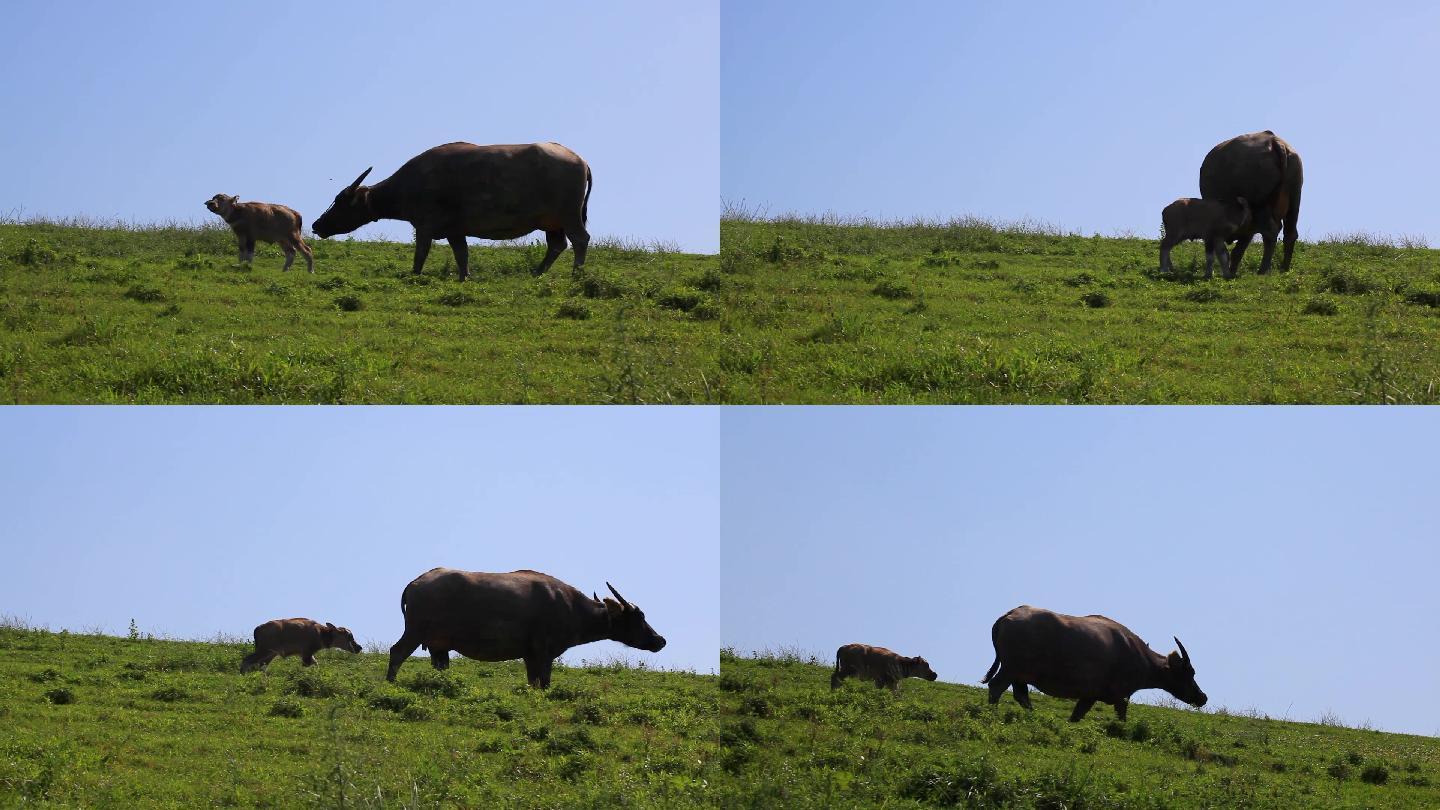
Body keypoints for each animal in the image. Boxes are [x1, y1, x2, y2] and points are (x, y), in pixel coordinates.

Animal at [311, 143, 590, 282]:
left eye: (340, 201)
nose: (317, 225)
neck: (411, 183)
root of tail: (580, 160)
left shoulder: (424, 226)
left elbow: (420, 254)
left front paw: (414, 275)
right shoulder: (455, 231)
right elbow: (461, 255)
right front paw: (464, 277)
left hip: (569, 216)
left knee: (580, 240)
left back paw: (576, 275)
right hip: (553, 222)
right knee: (557, 245)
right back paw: (537, 272)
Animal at [388, 564, 668, 683]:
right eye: (639, 617)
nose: (660, 640)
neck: (571, 607)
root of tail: (415, 583)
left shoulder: (529, 655)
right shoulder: (543, 653)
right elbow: (543, 682)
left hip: (438, 645)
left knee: (439, 665)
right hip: (415, 631)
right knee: (396, 652)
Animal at [979, 605, 1203, 717]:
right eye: (1189, 672)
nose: (1203, 697)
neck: (1139, 656)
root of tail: (1009, 615)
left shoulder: (1089, 696)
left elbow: (1076, 716)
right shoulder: (1119, 697)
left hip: (1019, 674)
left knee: (1021, 695)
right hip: (1010, 668)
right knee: (996, 686)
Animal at [1198, 129, 1301, 273]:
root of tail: (1273, 141)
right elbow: (1238, 249)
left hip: (1261, 207)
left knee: (1270, 232)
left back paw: (1263, 271)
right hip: (1294, 201)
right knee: (1290, 234)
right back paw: (1283, 269)